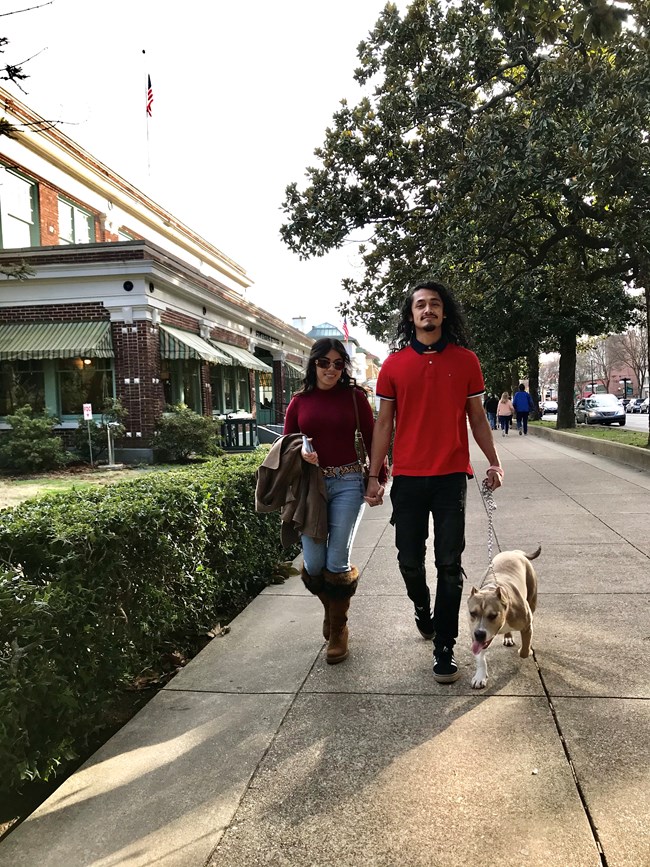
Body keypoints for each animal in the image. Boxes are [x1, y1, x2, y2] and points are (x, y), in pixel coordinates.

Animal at [466, 544, 536, 688]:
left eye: (493, 615)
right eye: (472, 613)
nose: (479, 634)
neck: (490, 589)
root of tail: (515, 552)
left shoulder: (527, 625)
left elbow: (524, 651)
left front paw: (527, 650)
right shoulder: (474, 636)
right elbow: (480, 659)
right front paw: (480, 676)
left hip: (533, 599)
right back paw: (508, 637)